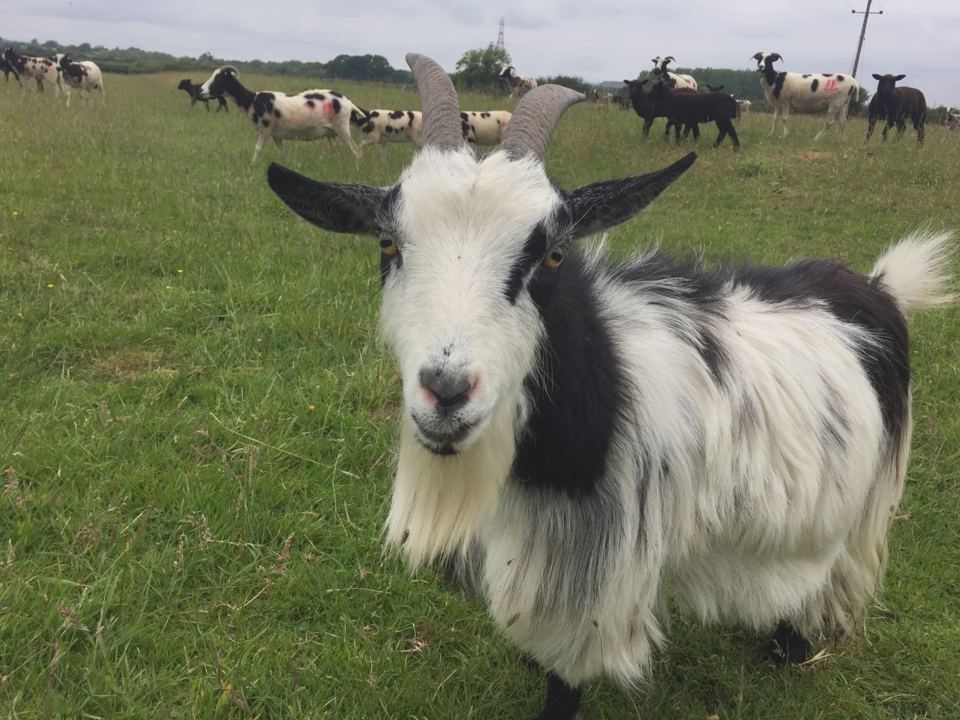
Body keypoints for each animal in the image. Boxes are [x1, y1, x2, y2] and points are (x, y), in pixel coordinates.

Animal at [198, 66, 368, 162]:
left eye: (219, 79)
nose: (201, 91)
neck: (252, 100)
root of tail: (348, 102)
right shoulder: (276, 134)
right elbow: (282, 152)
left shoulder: (265, 129)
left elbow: (257, 148)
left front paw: (253, 164)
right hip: (330, 132)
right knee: (334, 148)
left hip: (342, 127)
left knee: (357, 152)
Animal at [266, 52, 955, 720]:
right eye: (387, 243)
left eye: (551, 254)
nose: (447, 392)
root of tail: (878, 287)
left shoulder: (595, 575)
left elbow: (566, 680)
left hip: (866, 504)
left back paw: (791, 647)